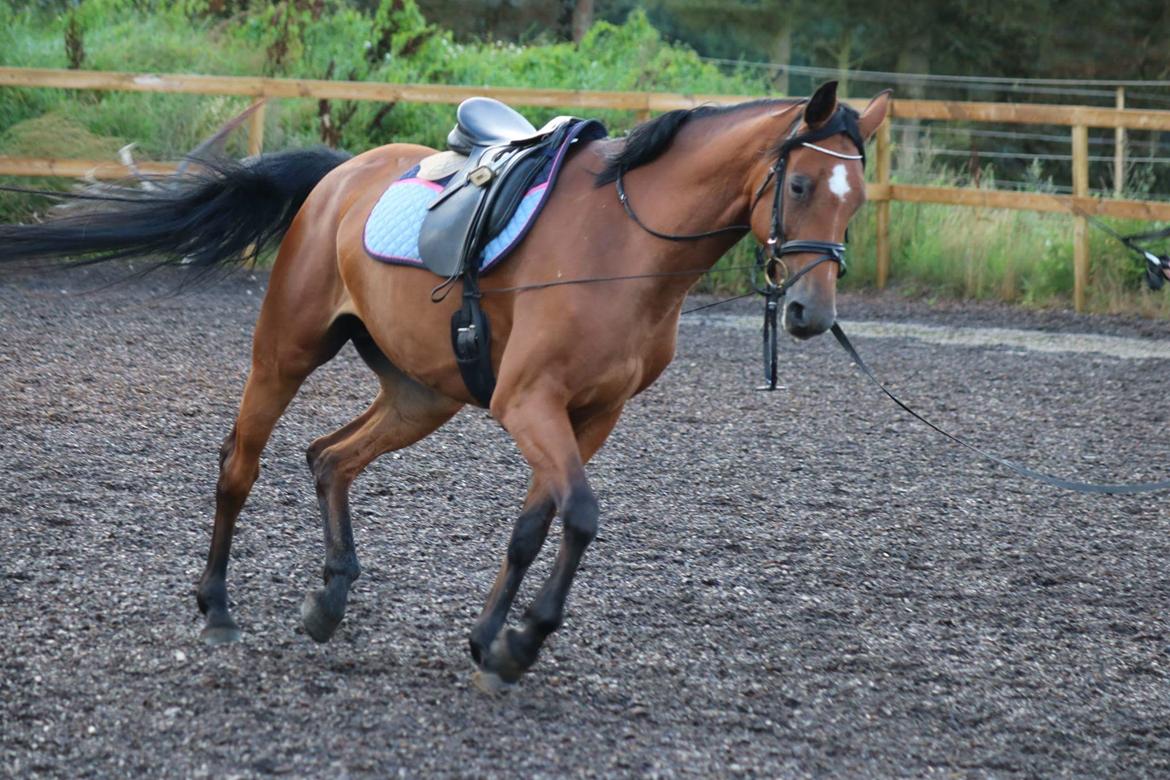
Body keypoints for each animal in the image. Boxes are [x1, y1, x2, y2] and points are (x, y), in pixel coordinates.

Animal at [0, 80, 889, 687]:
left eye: (857, 201)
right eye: (801, 185)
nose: (810, 312)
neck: (625, 246)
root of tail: (339, 175)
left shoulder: (589, 416)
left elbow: (536, 525)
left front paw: (491, 640)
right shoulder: (529, 403)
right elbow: (581, 515)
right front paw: (523, 641)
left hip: (421, 394)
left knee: (329, 457)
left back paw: (329, 602)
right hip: (286, 353)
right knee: (238, 466)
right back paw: (217, 606)